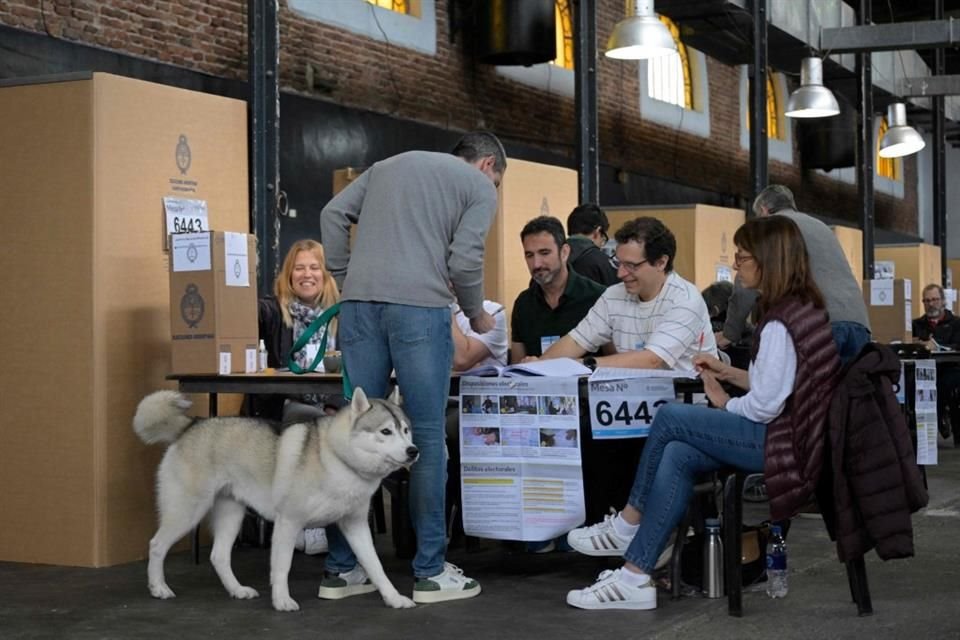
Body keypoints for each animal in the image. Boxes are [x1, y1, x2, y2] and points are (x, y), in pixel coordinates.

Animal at [133, 384, 418, 608]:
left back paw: (237, 590)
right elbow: (282, 566)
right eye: (385, 432)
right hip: (187, 512)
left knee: (219, 556)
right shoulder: (288, 523)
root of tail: (192, 424)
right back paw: (158, 588)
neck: (335, 457)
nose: (413, 450)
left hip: (231, 515)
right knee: (156, 545)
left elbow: (376, 566)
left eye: (406, 430)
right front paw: (282, 601)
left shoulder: (356, 525)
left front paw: (394, 598)